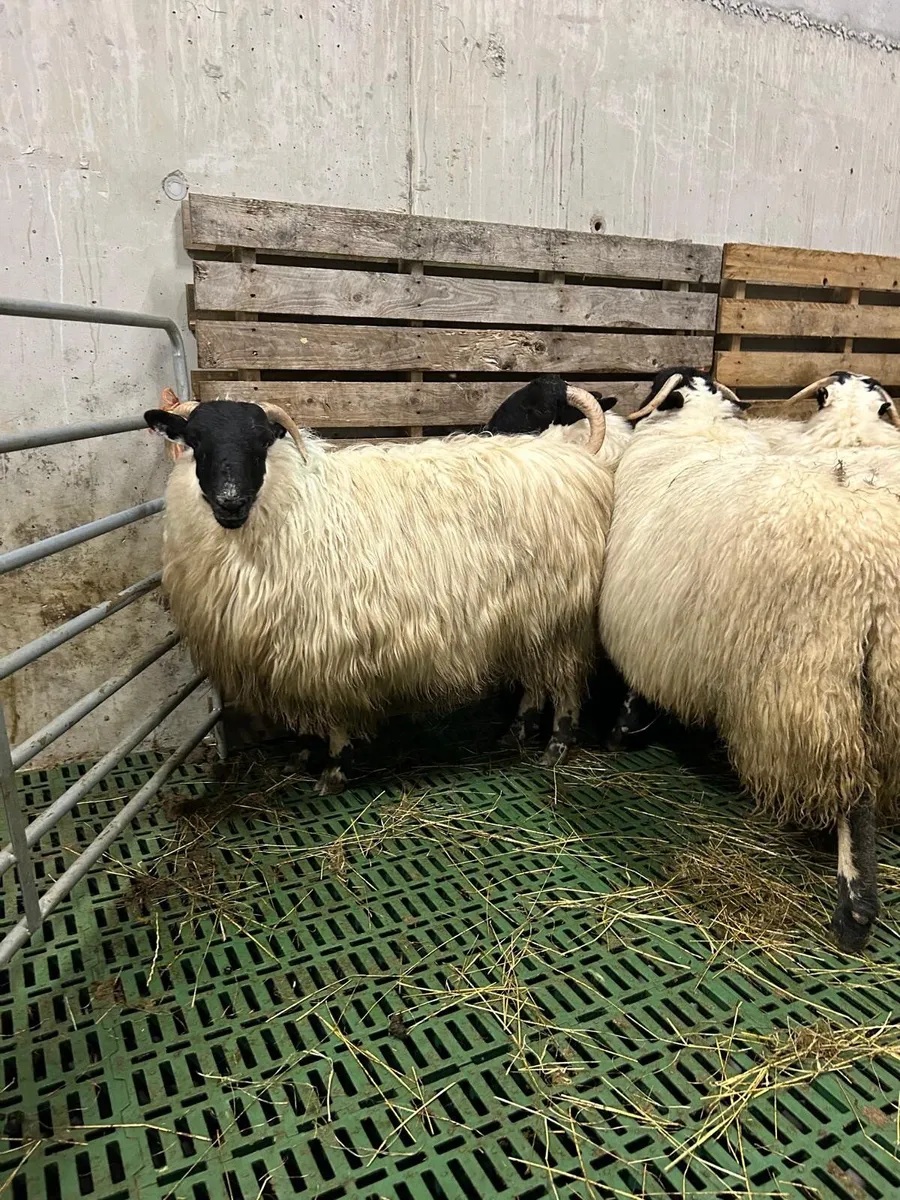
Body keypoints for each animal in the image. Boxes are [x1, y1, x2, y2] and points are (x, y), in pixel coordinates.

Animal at [145, 388, 614, 794]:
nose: (230, 502)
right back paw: (515, 732)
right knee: (536, 680)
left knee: (566, 683)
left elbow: (334, 720)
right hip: (531, 616)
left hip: (564, 617)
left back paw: (556, 746)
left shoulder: (324, 647)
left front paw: (333, 770)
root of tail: (573, 457)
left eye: (261, 441)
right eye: (194, 440)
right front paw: (303, 755)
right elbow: (306, 721)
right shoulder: (290, 653)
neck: (293, 502)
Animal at [599, 367, 900, 951]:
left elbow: (633, 685)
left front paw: (622, 729)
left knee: (855, 794)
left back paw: (855, 910)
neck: (701, 429)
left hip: (815, 678)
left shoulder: (645, 615)